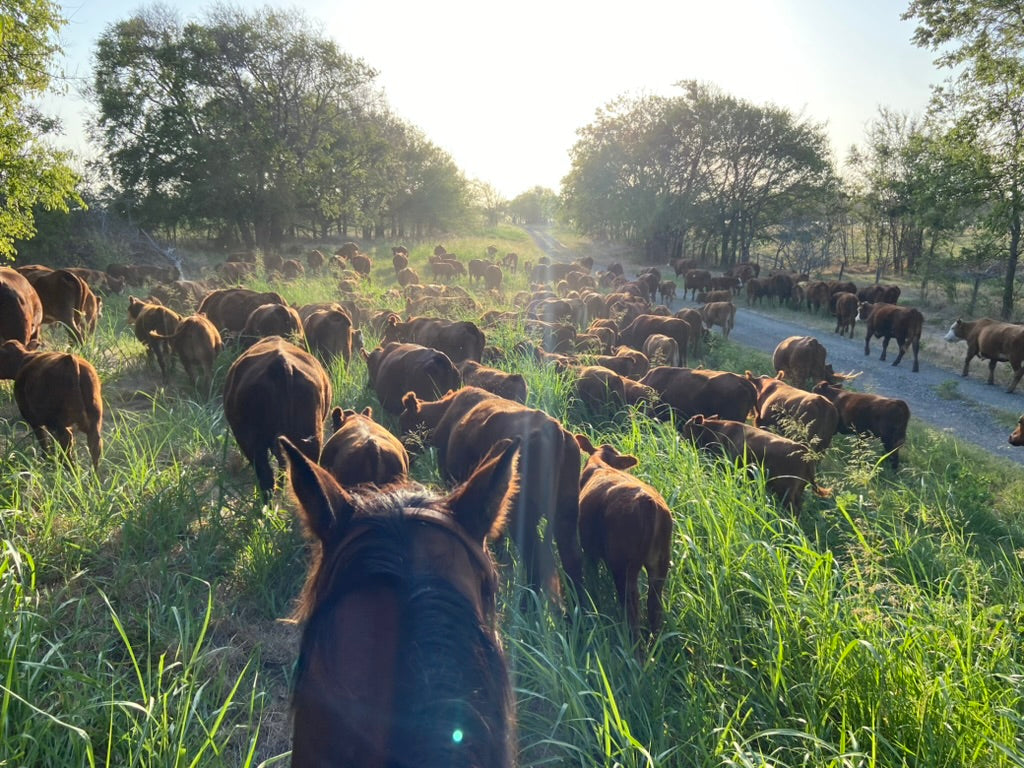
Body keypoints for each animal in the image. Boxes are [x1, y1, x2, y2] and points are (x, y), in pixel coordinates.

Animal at [0, 340, 103, 469]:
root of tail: (70, 359)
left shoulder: (34, 420)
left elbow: (43, 441)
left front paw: (46, 459)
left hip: (59, 422)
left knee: (66, 442)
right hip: (94, 420)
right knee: (95, 446)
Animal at [575, 434, 672, 638]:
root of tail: (647, 502)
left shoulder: (589, 552)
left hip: (623, 566)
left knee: (632, 607)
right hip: (660, 563)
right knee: (654, 605)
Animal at [681, 415, 830, 512]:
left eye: (686, 428)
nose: (681, 440)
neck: (716, 431)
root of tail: (804, 451)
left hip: (786, 492)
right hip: (797, 491)